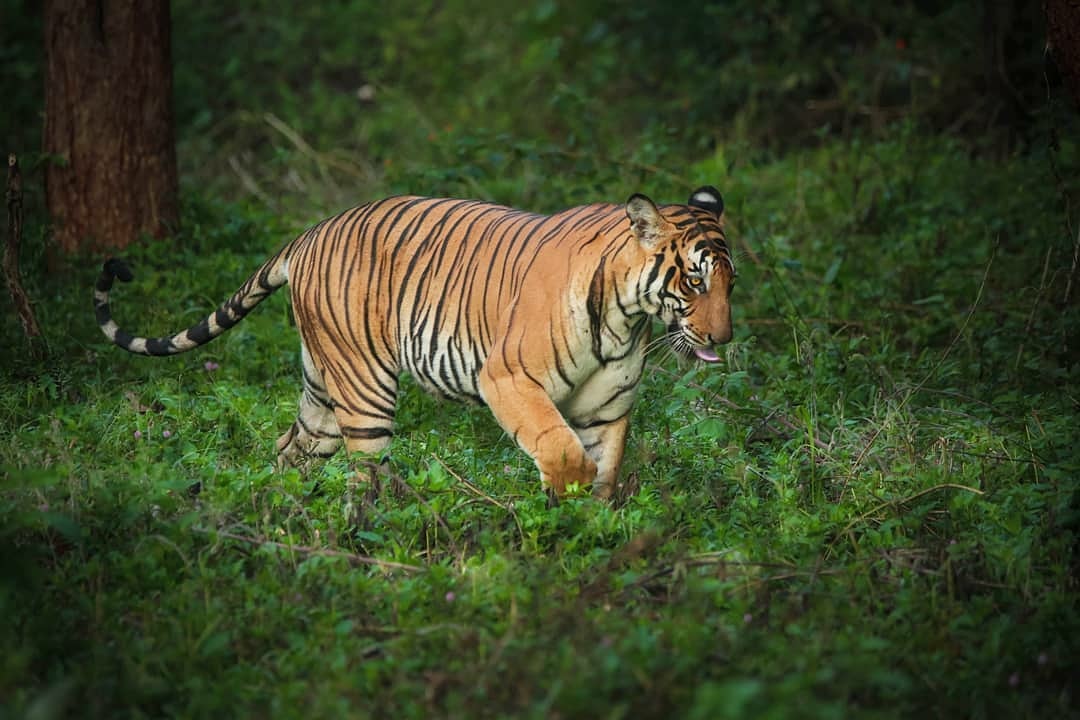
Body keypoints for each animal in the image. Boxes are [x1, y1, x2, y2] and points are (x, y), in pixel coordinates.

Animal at [94, 187, 735, 498]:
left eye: (732, 282)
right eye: (694, 280)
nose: (723, 338)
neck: (627, 317)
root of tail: (308, 234)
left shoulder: (606, 408)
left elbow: (603, 473)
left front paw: (586, 538)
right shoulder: (508, 377)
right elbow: (561, 451)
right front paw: (559, 507)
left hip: (321, 394)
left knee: (289, 450)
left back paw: (280, 515)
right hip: (364, 388)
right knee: (364, 478)